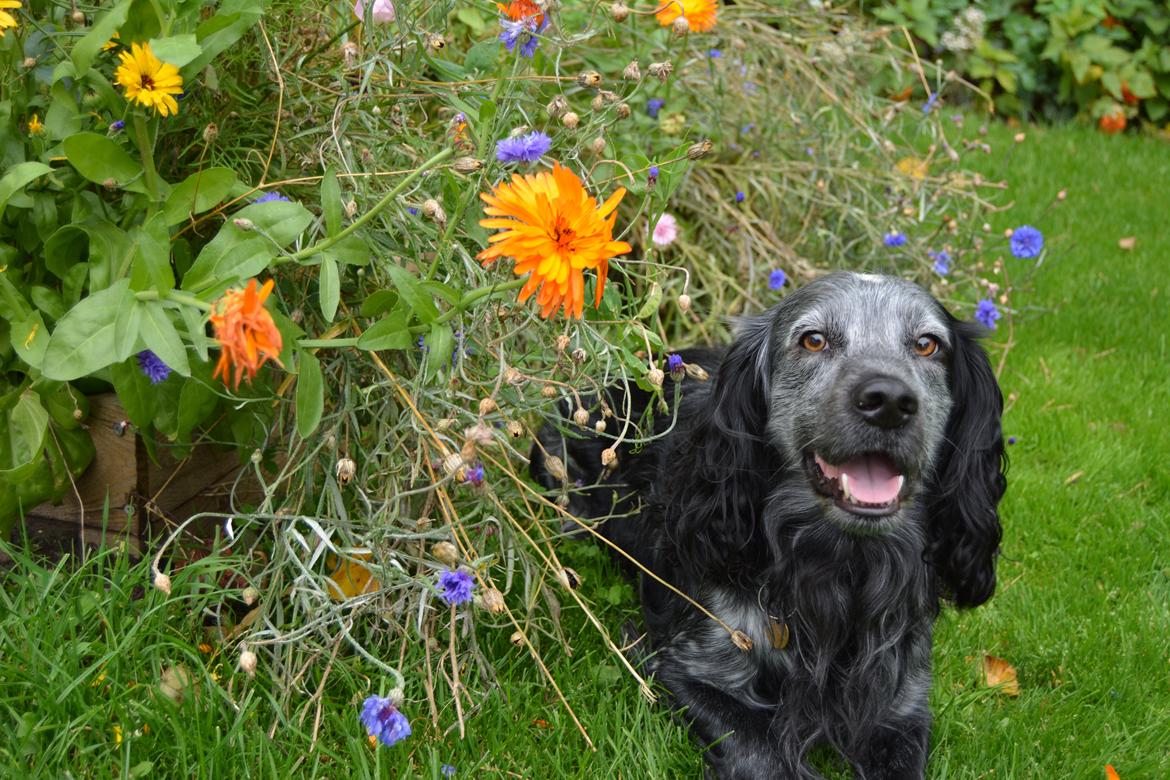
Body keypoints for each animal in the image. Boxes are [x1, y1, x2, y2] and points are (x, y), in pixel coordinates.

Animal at [531, 271, 1006, 776]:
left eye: (927, 344)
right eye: (813, 340)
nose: (890, 402)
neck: (836, 571)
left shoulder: (902, 704)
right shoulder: (685, 666)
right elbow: (764, 754)